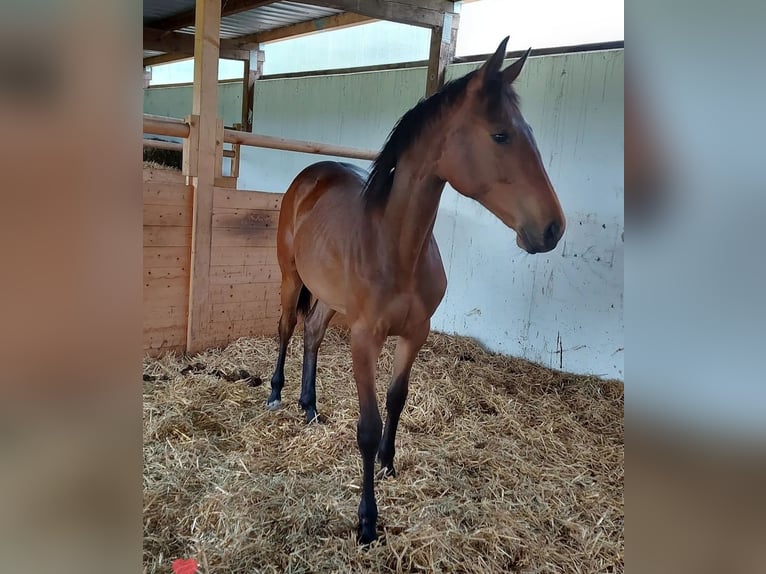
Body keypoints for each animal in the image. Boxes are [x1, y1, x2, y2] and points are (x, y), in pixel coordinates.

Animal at [268, 38, 564, 548]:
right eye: (501, 135)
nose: (552, 228)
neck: (395, 247)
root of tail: (311, 174)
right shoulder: (364, 339)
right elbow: (367, 426)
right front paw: (367, 520)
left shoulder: (415, 334)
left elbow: (396, 399)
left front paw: (389, 463)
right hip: (292, 279)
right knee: (288, 328)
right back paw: (275, 394)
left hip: (329, 298)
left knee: (312, 333)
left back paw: (310, 407)